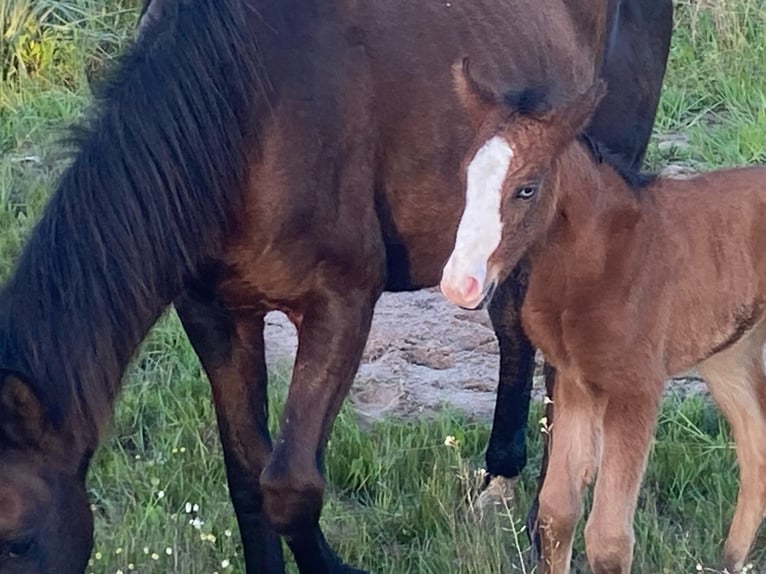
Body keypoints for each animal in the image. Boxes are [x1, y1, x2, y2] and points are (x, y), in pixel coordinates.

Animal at [0, 1, 672, 574]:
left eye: (19, 539)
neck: (248, 115)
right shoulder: (214, 314)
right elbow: (247, 476)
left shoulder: (340, 305)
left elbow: (289, 485)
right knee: (513, 325)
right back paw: (500, 477)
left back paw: (544, 524)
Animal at [440, 62, 766, 574]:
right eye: (465, 178)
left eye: (527, 188)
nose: (460, 283)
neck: (599, 264)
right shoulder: (575, 380)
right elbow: (556, 513)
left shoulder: (636, 389)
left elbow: (609, 539)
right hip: (728, 352)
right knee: (757, 446)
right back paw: (730, 561)